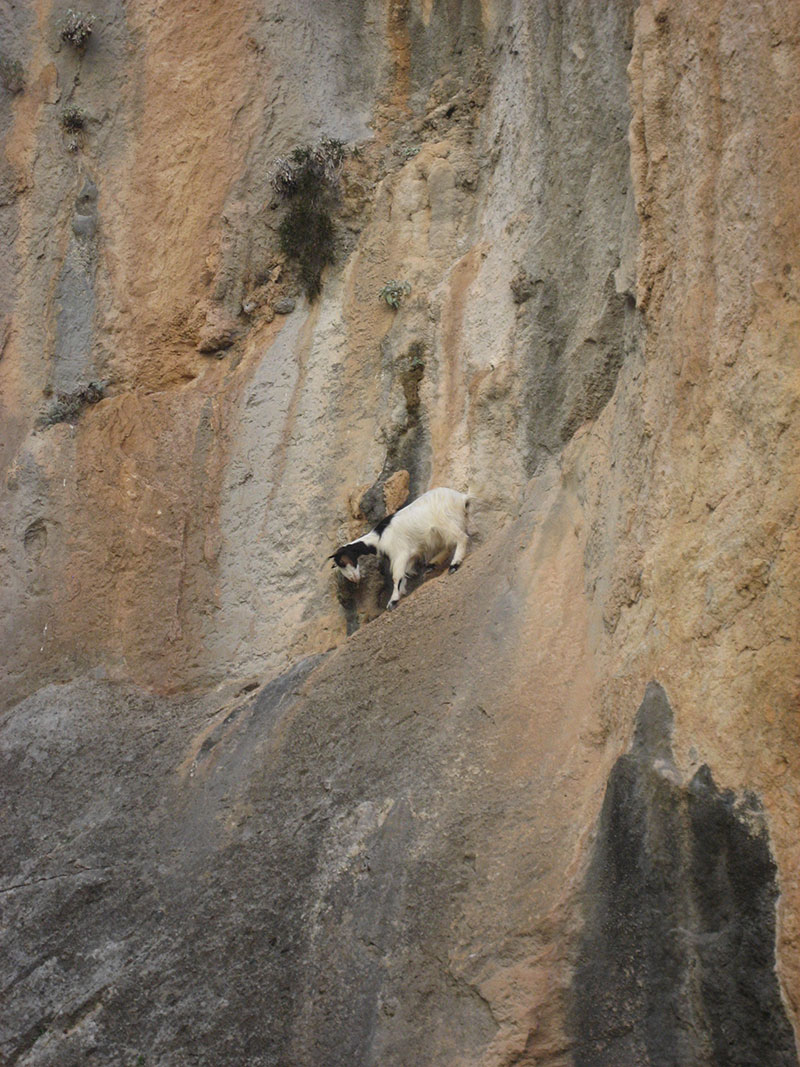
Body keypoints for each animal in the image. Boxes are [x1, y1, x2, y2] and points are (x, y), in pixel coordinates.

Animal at [330, 486, 469, 610]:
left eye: (342, 561)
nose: (353, 579)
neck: (378, 538)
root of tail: (462, 498)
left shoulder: (400, 554)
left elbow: (397, 576)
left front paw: (393, 601)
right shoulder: (410, 554)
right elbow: (405, 573)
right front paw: (403, 589)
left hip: (446, 523)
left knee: (462, 538)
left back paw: (454, 565)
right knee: (449, 545)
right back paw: (433, 563)